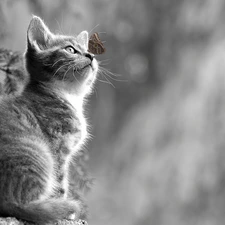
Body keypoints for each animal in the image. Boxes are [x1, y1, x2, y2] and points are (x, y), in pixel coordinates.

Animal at [0, 15, 98, 223]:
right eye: (70, 49)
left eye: (87, 50)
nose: (90, 56)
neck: (66, 95)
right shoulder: (58, 148)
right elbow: (60, 184)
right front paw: (64, 208)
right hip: (39, 153)